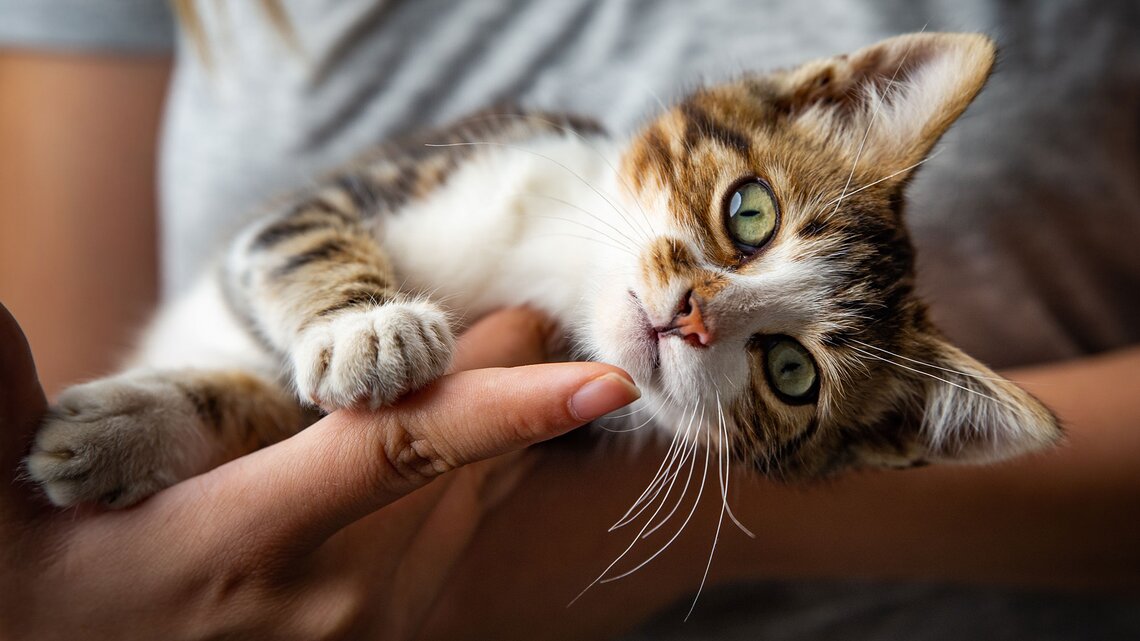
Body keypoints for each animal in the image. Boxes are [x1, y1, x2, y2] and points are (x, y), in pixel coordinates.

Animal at [26, 32, 1057, 506]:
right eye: (750, 214)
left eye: (792, 372)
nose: (691, 315)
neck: (552, 263)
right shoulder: (374, 180)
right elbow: (300, 238)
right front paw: (366, 327)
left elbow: (277, 406)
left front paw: (127, 432)